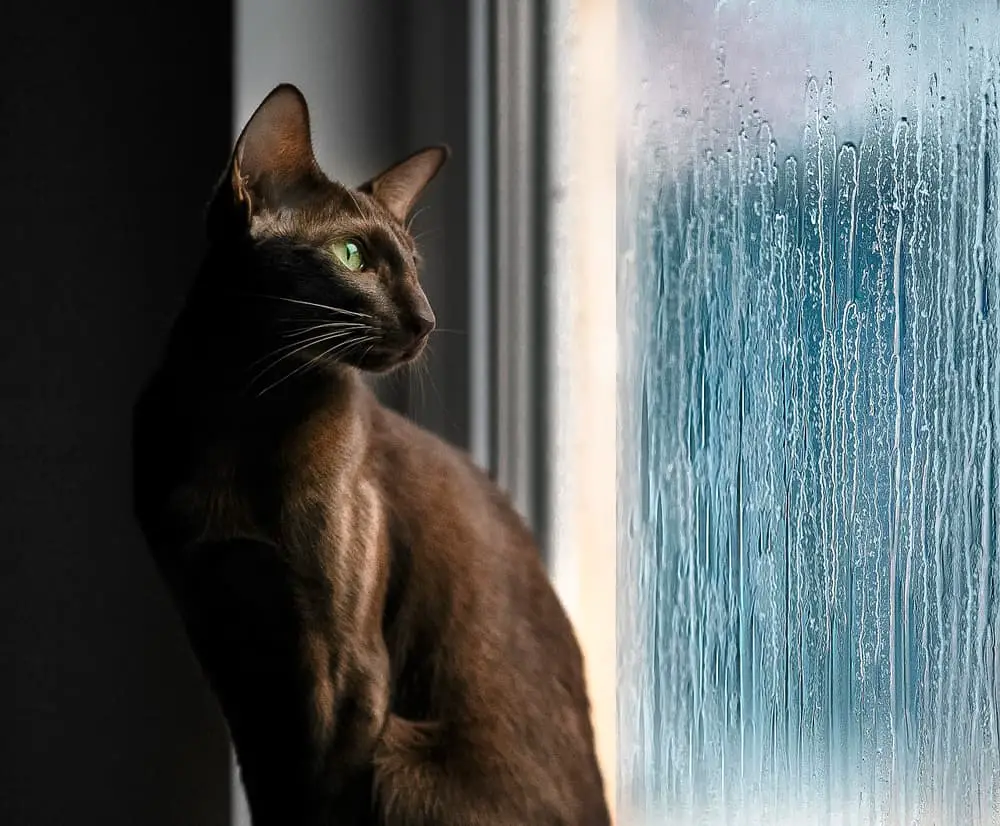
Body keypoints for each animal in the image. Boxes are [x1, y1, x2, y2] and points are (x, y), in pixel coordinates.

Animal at [133, 83, 612, 824]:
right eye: (353, 255)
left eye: (414, 267)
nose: (426, 321)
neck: (239, 417)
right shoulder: (223, 641)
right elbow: (271, 789)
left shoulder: (342, 667)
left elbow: (316, 795)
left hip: (401, 759)